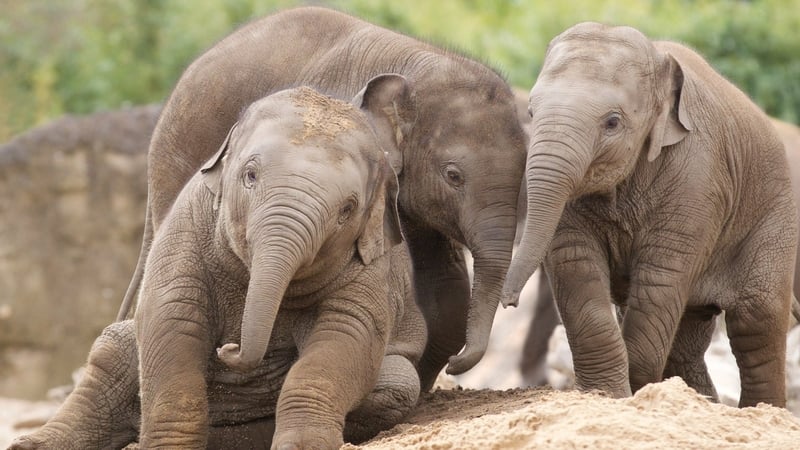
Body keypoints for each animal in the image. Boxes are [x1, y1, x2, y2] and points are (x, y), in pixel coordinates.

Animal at [10, 83, 427, 449]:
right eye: (250, 175)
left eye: (348, 209)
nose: (230, 346)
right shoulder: (188, 223)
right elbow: (171, 320)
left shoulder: (374, 264)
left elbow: (345, 335)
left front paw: (301, 445)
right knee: (110, 352)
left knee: (397, 383)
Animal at [502, 22, 797, 408]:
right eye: (532, 114)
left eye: (612, 122)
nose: (509, 302)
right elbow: (575, 264)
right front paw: (609, 395)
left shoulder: (696, 181)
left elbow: (659, 281)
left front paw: (632, 393)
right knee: (688, 334)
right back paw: (698, 401)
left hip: (773, 217)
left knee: (756, 322)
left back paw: (760, 410)